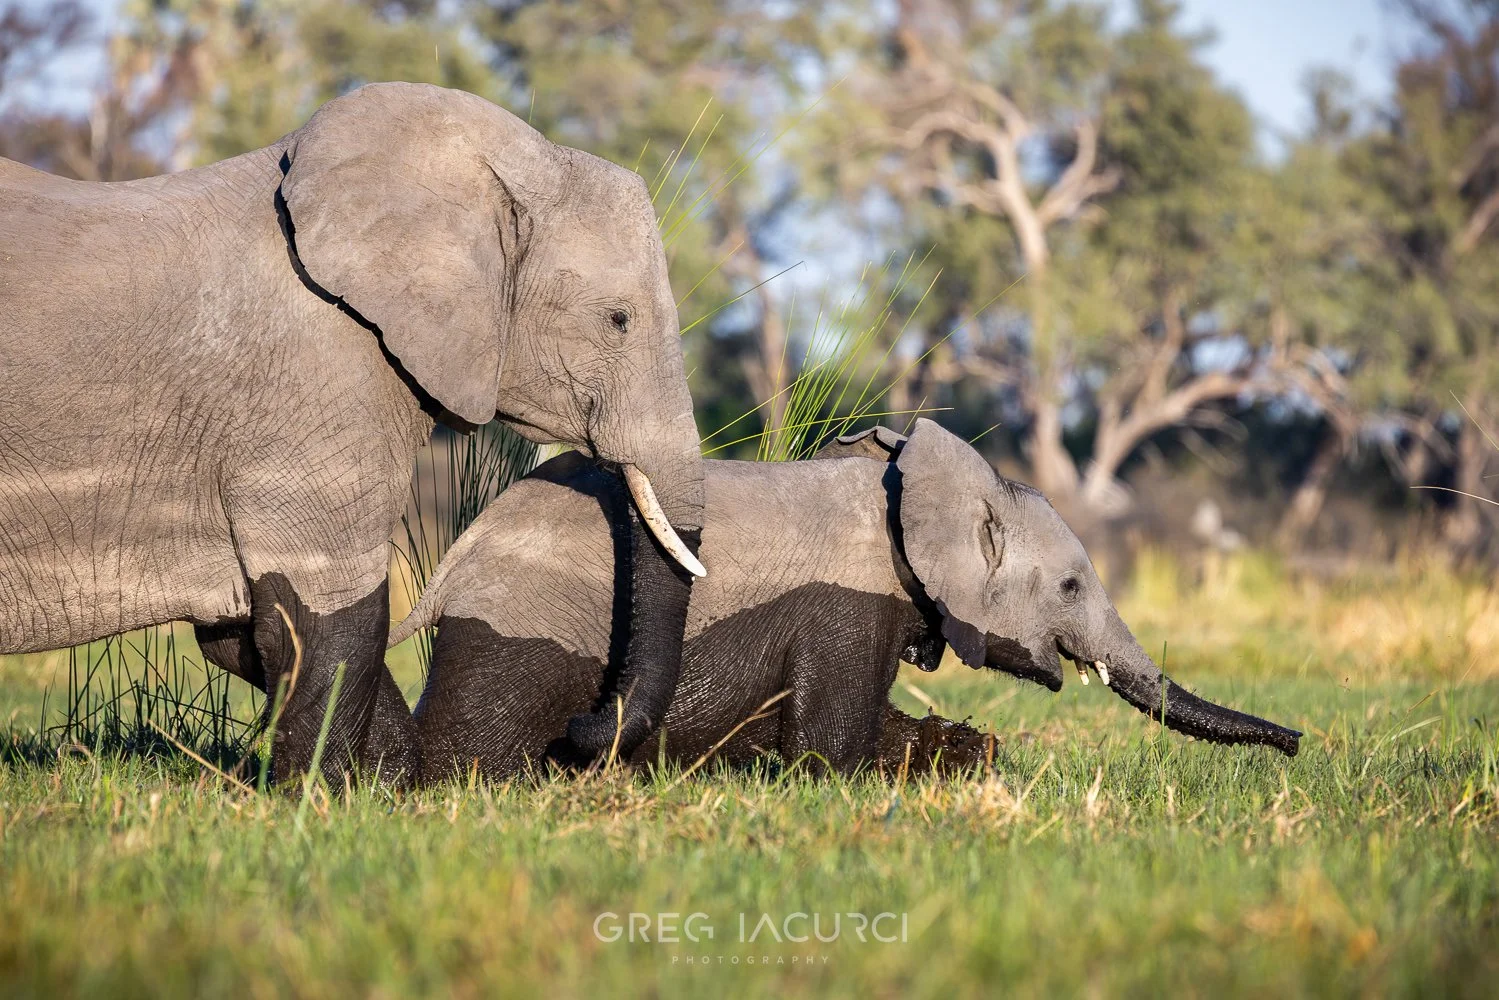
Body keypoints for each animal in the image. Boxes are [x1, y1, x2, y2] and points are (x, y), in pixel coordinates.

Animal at [0, 81, 705, 784]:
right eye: (618, 320)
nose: (575, 731)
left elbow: (248, 634)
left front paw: (389, 784)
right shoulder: (318, 377)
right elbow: (336, 624)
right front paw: (315, 796)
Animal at [390, 419, 1300, 784]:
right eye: (1071, 586)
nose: (1297, 742)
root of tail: (456, 559)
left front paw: (969, 755)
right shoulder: (844, 605)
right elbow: (829, 745)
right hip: (523, 626)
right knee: (479, 738)